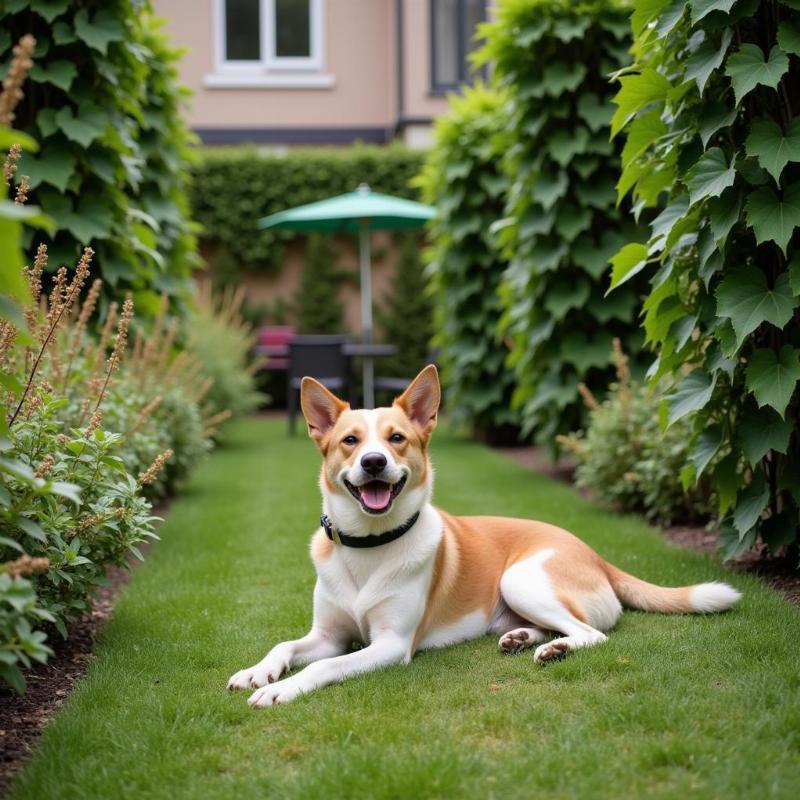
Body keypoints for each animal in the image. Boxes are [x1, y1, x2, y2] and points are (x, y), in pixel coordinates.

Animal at [228, 364, 740, 708]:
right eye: (350, 441)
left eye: (397, 439)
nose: (374, 462)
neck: (369, 546)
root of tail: (594, 553)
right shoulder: (327, 634)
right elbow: (287, 646)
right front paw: (258, 672)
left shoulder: (391, 644)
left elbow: (325, 664)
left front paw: (283, 689)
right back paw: (524, 638)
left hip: (522, 578)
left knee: (592, 633)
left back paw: (553, 648)